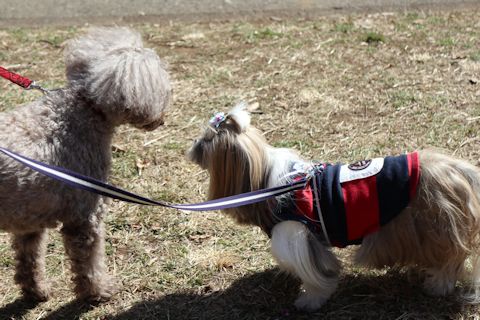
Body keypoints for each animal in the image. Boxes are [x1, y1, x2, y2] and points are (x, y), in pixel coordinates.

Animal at [0, 27, 172, 302]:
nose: (162, 118)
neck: (83, 108)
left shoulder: (29, 217)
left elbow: (30, 259)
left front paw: (36, 292)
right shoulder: (84, 215)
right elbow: (89, 261)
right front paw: (99, 291)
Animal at [188, 102, 480, 310]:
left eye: (205, 140)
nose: (191, 149)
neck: (270, 180)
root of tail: (458, 170)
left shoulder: (297, 235)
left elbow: (317, 274)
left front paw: (309, 300)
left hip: (435, 228)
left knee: (451, 260)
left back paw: (438, 285)